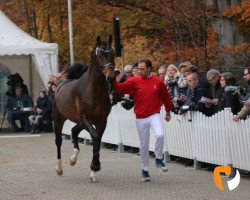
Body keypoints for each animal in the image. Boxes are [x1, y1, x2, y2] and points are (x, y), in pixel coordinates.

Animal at [53, 34, 115, 183]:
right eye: (100, 54)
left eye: (113, 53)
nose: (111, 77)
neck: (94, 91)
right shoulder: (85, 118)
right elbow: (95, 136)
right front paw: (96, 166)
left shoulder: (101, 121)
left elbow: (98, 139)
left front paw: (94, 171)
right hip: (59, 119)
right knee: (58, 141)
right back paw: (59, 168)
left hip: (80, 121)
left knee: (74, 131)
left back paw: (73, 159)